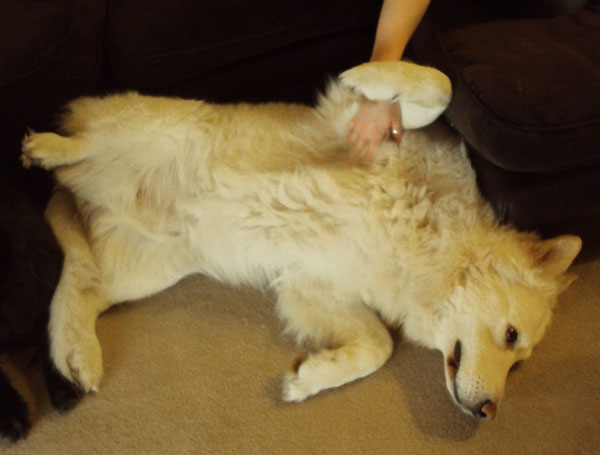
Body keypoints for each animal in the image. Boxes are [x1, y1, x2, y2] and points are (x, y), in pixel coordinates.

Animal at [23, 61, 580, 420]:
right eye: (511, 336)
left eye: (520, 363)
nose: (487, 412)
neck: (433, 244)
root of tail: (87, 196)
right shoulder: (360, 129)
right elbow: (435, 87)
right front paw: (369, 71)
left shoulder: (314, 287)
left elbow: (378, 347)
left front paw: (309, 379)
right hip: (165, 130)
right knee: (85, 146)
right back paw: (46, 148)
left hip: (149, 266)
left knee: (77, 278)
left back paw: (76, 356)